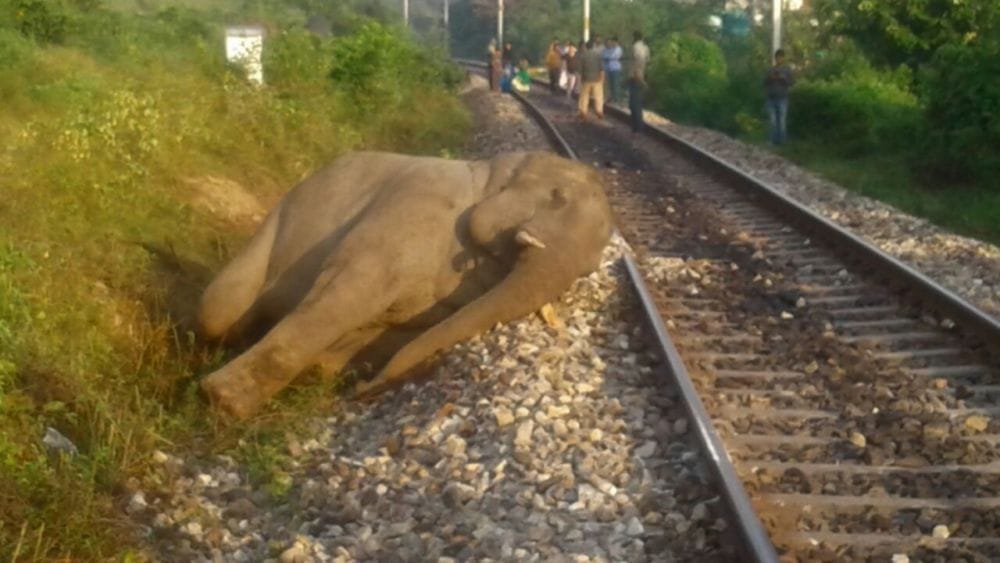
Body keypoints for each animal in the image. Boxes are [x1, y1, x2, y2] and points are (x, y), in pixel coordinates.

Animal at [198, 150, 613, 418]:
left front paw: (329, 370)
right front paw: (223, 403)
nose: (361, 392)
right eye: (558, 198)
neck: (488, 173)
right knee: (217, 311)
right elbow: (350, 289)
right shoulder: (412, 213)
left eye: (591, 267)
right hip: (272, 229)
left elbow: (394, 332)